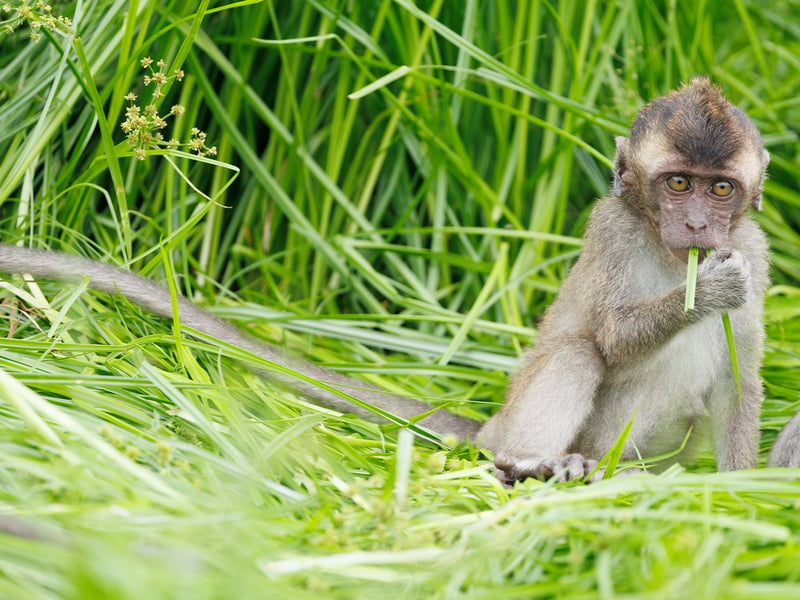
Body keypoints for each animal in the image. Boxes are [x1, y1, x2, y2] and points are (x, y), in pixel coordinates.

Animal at [0, 77, 774, 484]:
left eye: (719, 190)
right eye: (676, 184)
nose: (698, 226)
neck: (668, 252)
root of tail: (493, 425)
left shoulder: (756, 249)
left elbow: (741, 382)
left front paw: (746, 490)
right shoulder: (610, 228)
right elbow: (608, 338)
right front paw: (700, 296)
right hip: (547, 431)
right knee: (576, 355)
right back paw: (528, 464)